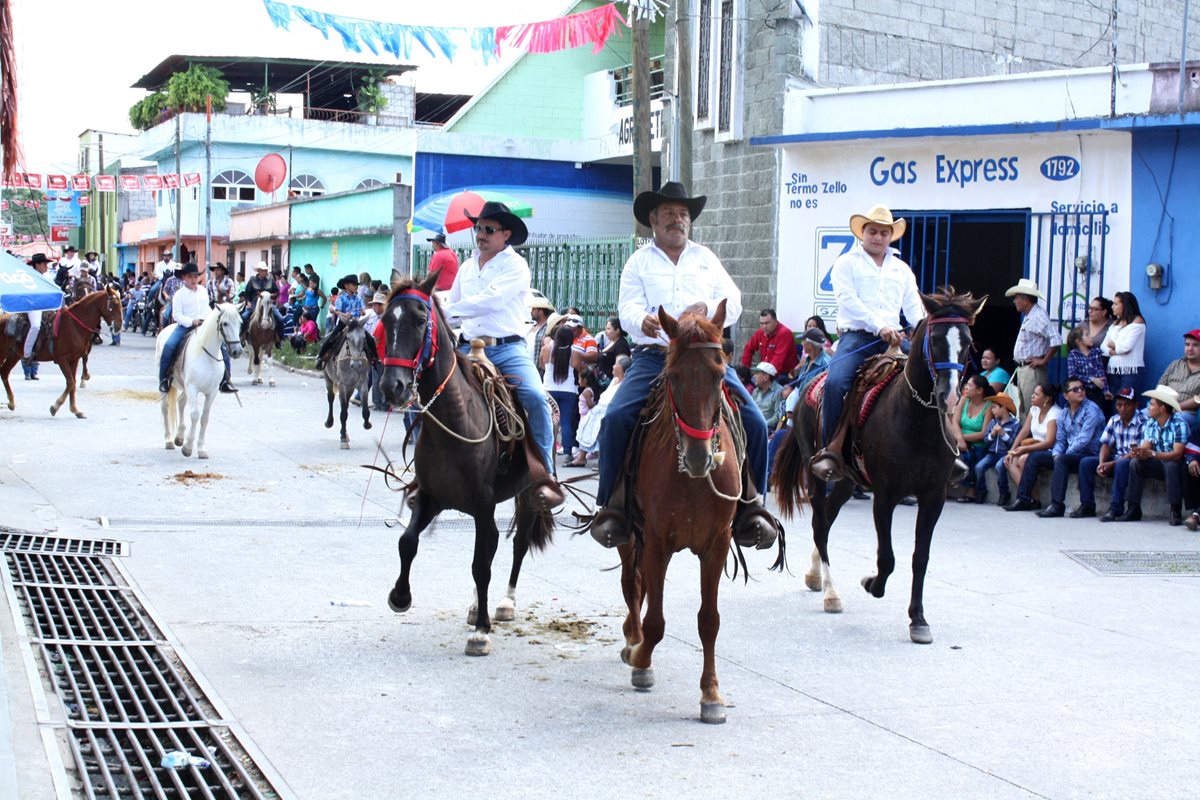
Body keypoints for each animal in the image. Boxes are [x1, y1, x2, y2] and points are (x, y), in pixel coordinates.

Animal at [0, 286, 121, 419]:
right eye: (114, 304)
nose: (119, 326)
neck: (74, 326)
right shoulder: (62, 360)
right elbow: (71, 382)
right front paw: (55, 407)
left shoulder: (74, 360)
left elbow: (72, 383)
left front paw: (75, 410)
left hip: (14, 355)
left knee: (4, 372)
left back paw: (11, 402)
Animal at [154, 303, 243, 460]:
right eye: (225, 323)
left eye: (240, 323)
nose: (237, 351)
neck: (207, 356)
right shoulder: (193, 388)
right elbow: (195, 415)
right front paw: (188, 448)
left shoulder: (212, 392)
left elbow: (204, 418)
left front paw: (201, 449)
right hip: (168, 386)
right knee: (165, 408)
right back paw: (169, 440)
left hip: (185, 387)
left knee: (181, 402)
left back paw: (179, 437)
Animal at [376, 272, 554, 662]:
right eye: (385, 322)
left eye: (420, 320)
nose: (392, 386)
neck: (455, 418)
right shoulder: (432, 496)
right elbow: (407, 542)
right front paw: (400, 596)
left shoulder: (483, 504)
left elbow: (480, 565)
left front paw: (481, 632)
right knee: (493, 545)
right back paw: (476, 607)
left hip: (527, 495)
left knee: (517, 544)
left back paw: (504, 604)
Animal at [619, 302, 787, 724]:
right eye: (673, 376)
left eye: (718, 375)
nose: (699, 458)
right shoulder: (656, 543)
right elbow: (656, 620)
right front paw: (642, 660)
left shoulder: (717, 544)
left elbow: (709, 621)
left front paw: (711, 694)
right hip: (630, 537)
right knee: (632, 585)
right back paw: (632, 640)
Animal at [768, 287, 984, 642]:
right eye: (936, 338)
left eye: (967, 340)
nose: (951, 396)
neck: (917, 421)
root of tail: (806, 384)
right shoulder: (885, 495)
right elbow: (887, 558)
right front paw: (872, 584)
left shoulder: (933, 497)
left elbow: (919, 558)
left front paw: (918, 620)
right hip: (817, 475)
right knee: (819, 524)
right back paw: (831, 592)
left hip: (847, 481)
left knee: (827, 519)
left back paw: (816, 576)